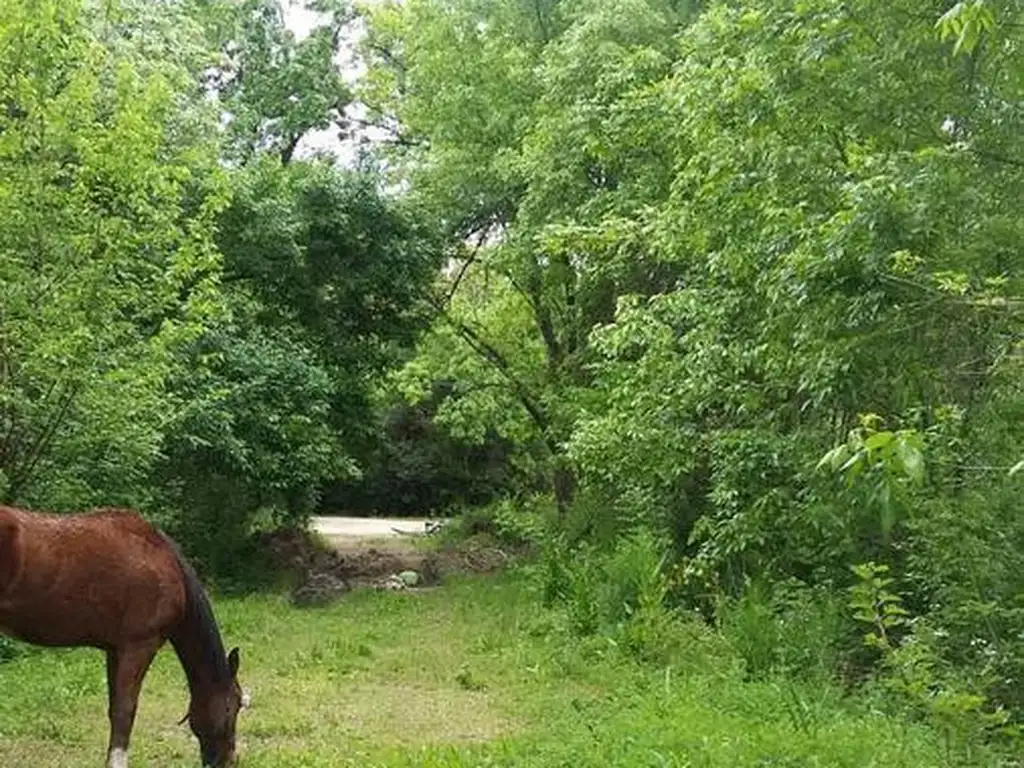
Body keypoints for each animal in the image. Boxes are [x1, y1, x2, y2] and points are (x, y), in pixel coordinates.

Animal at [0, 507, 245, 765]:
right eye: (234, 705)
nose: (230, 760)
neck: (164, 563)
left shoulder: (114, 650)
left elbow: (114, 708)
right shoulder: (138, 647)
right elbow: (125, 711)